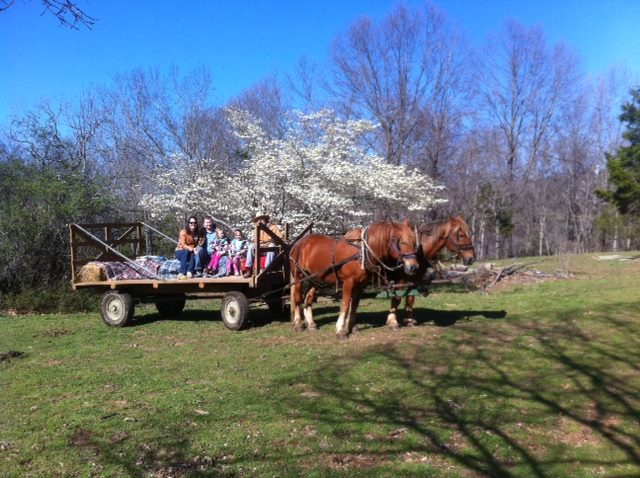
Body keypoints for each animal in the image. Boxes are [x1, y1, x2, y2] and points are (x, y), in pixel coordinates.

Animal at [290, 222, 420, 338]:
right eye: (402, 242)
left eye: (414, 243)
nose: (414, 267)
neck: (362, 252)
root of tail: (298, 243)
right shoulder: (349, 282)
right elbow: (345, 304)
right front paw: (341, 330)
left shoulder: (360, 284)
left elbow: (354, 305)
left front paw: (352, 327)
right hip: (298, 277)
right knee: (297, 298)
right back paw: (298, 324)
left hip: (315, 278)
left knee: (308, 298)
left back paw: (311, 324)